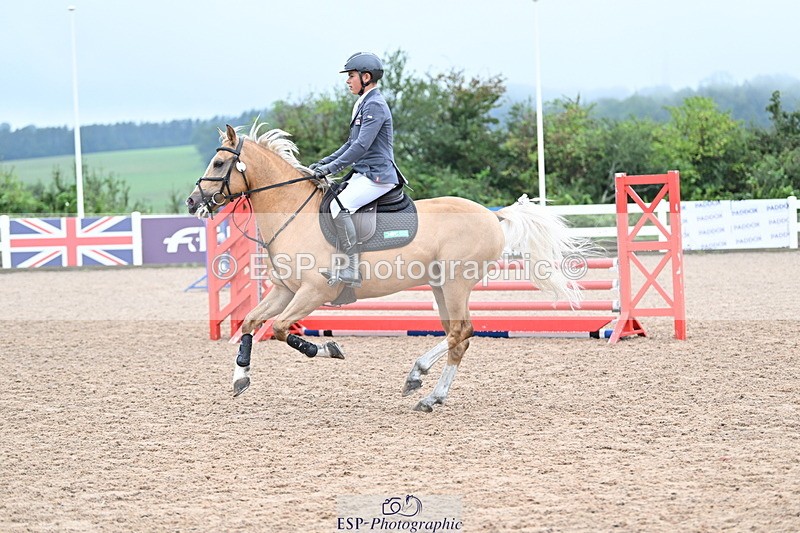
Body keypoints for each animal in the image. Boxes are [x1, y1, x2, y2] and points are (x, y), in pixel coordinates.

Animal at [186, 123, 586, 412]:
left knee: (461, 332)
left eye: (219, 164)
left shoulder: (314, 291)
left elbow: (284, 329)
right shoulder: (286, 290)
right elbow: (251, 322)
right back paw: (426, 388)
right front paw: (240, 377)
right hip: (440, 287)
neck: (294, 214)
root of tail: (493, 215)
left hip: (456, 282)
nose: (193, 201)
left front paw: (328, 350)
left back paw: (422, 384)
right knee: (460, 337)